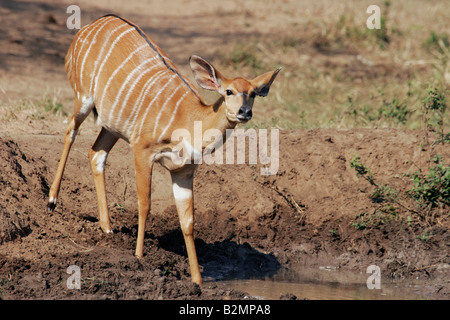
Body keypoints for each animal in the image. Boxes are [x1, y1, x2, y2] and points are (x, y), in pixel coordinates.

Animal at [49, 14, 282, 284]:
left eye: (253, 93)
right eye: (228, 91)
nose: (244, 112)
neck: (189, 121)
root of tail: (90, 26)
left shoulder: (183, 172)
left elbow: (188, 221)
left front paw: (197, 280)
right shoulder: (142, 151)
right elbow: (145, 204)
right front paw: (139, 256)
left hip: (112, 126)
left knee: (96, 153)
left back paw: (107, 228)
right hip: (83, 98)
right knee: (71, 132)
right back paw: (52, 201)